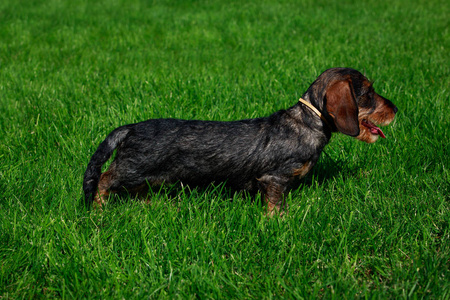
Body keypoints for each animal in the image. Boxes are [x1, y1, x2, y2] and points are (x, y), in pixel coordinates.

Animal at [81, 67, 398, 213]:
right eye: (368, 93)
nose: (396, 109)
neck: (306, 123)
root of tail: (131, 128)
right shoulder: (274, 178)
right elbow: (275, 205)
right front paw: (278, 223)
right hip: (131, 168)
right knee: (104, 179)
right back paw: (98, 209)